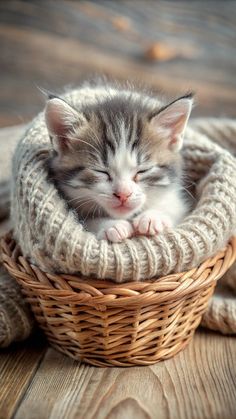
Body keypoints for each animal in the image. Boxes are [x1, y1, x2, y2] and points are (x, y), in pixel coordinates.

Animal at [45, 83, 193, 243]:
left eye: (143, 170)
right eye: (101, 171)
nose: (123, 195)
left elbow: (174, 208)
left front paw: (153, 217)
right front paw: (111, 225)